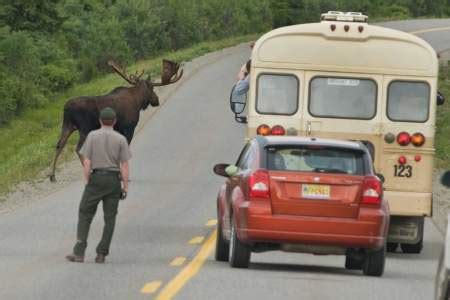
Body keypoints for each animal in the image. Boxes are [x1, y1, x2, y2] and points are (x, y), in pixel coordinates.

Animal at [48, 58, 182, 180]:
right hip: (84, 128)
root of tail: (66, 108)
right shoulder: (129, 127)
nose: (157, 100)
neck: (138, 102)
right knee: (78, 149)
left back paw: (52, 176)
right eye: (152, 89)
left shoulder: (118, 128)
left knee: (59, 145)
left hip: (68, 125)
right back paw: (88, 171)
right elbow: (125, 149)